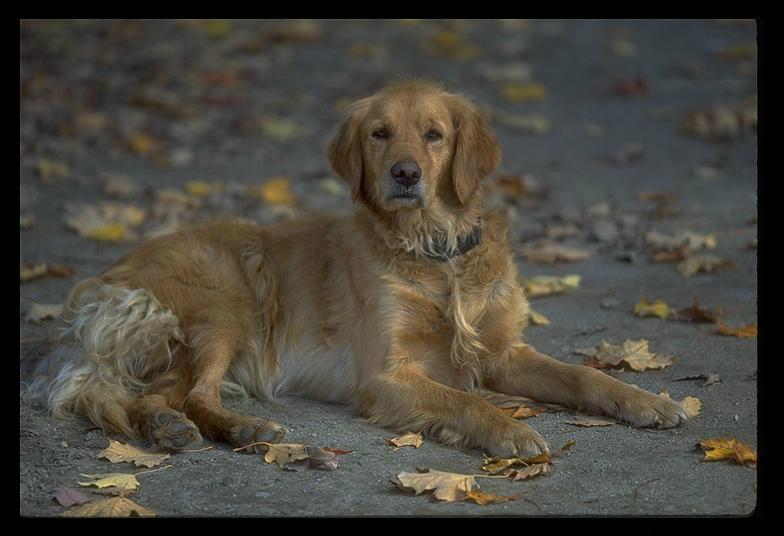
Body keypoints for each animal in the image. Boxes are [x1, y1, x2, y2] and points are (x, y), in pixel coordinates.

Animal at [30, 80, 688, 456]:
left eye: (434, 135)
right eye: (379, 134)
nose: (406, 173)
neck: (436, 251)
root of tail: (107, 280)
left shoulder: (504, 353)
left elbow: (584, 377)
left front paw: (644, 401)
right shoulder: (385, 375)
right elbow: (463, 401)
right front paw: (510, 429)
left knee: (148, 398)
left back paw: (177, 429)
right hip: (228, 301)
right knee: (190, 394)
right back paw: (242, 429)